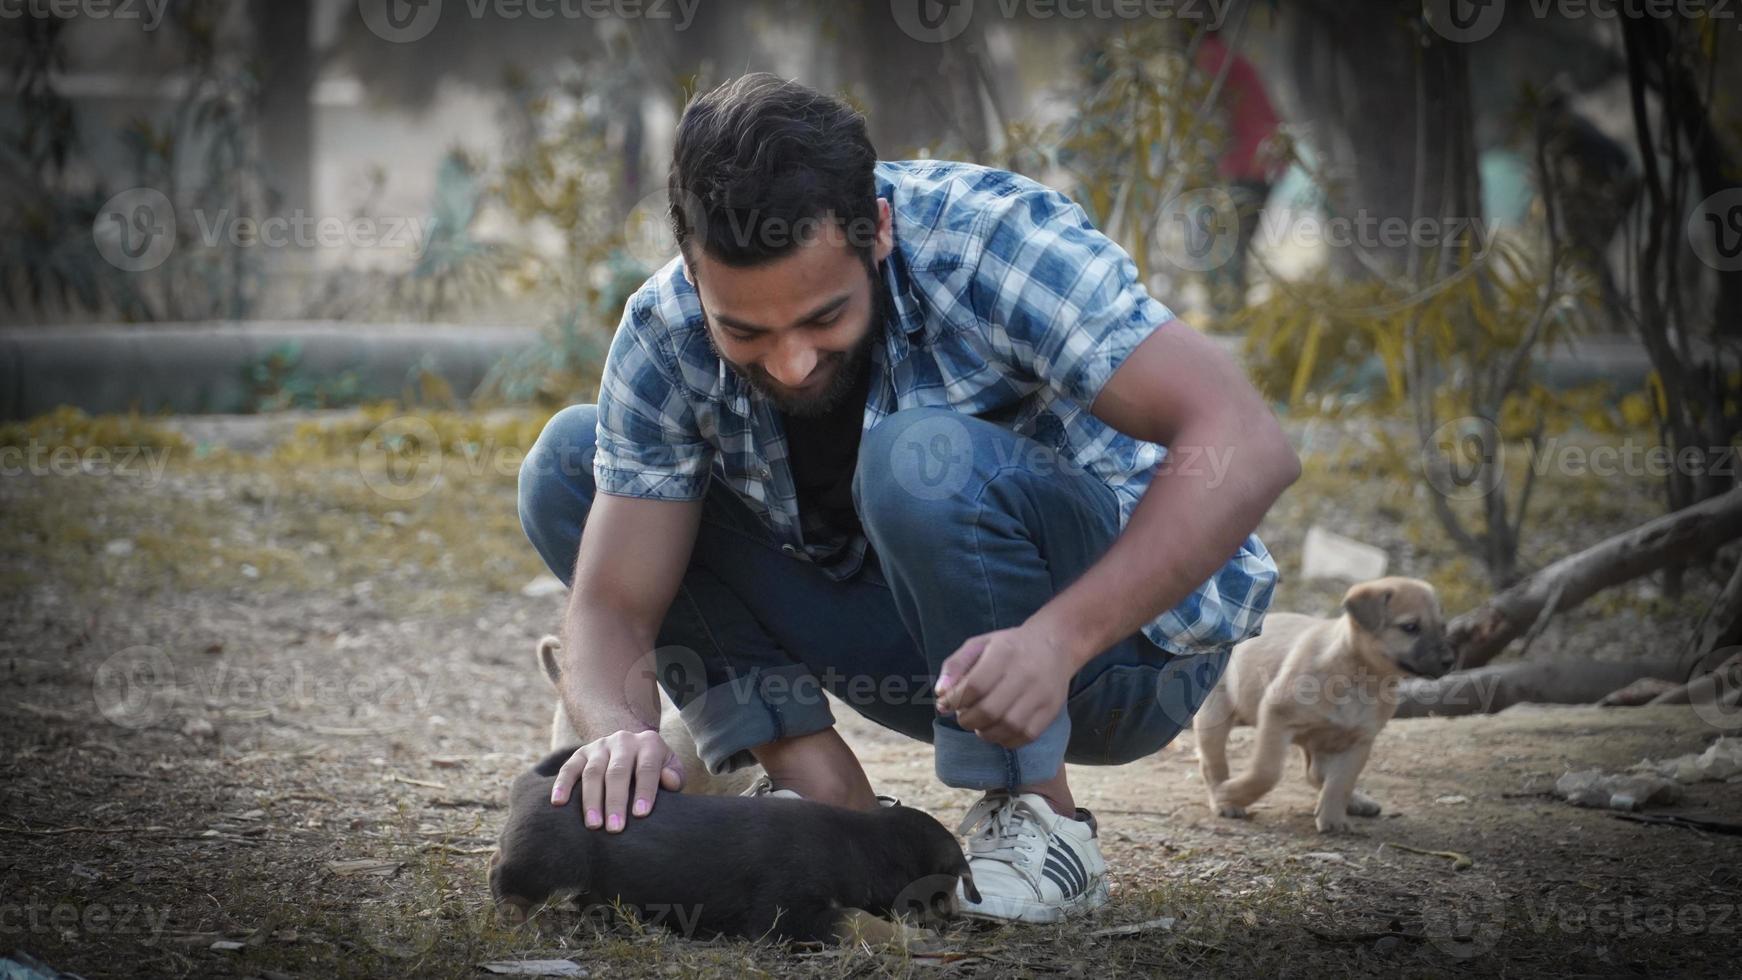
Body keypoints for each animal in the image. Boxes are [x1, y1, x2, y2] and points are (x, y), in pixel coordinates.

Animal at [491, 748, 982, 946]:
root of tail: (534, 785)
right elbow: (857, 920)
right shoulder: (786, 914)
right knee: (504, 877)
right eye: (945, 889)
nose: (954, 918)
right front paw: (912, 939)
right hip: (548, 860)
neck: (860, 846)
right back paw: (518, 918)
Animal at [1198, 577, 1456, 832]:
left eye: (1443, 628)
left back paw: (1356, 801)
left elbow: (1341, 782)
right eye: (1410, 627)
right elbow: (1266, 772)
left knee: (1317, 774)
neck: (1359, 677)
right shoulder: (1275, 718)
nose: (1450, 661)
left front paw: (1333, 818)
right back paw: (1224, 800)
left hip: (1323, 739)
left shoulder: (1360, 740)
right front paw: (1230, 793)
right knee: (1213, 765)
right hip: (1215, 718)